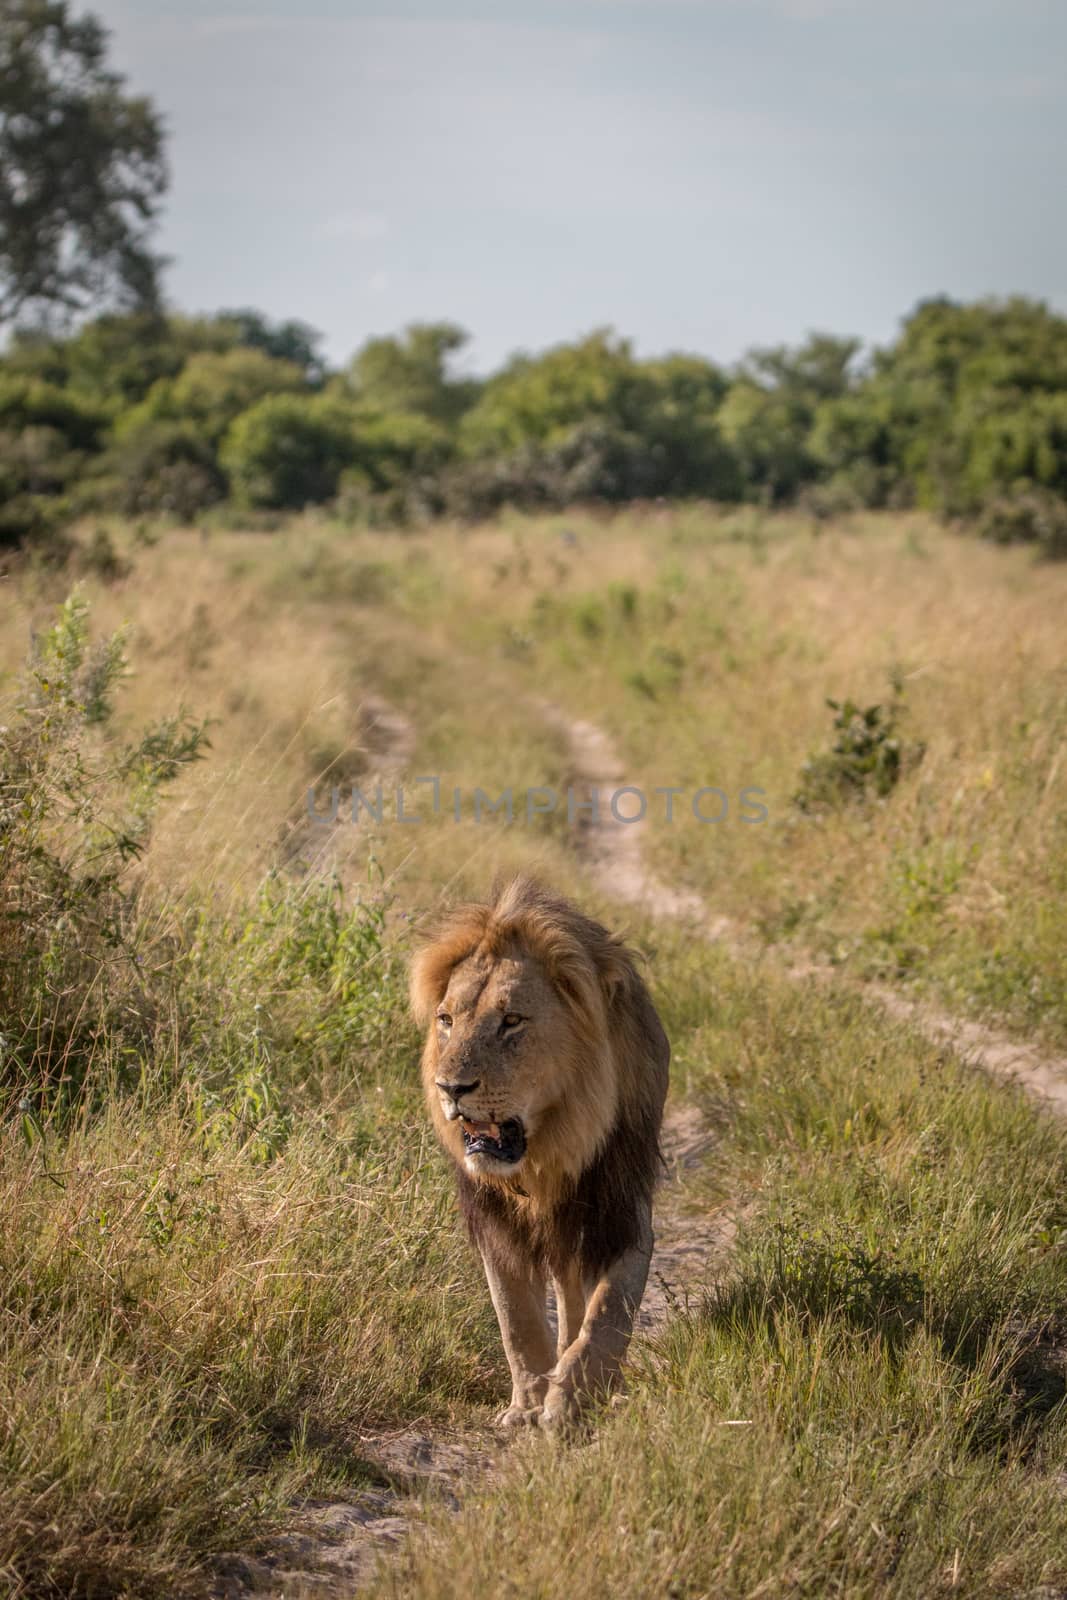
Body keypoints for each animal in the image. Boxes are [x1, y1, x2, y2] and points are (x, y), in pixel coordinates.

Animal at [409, 876, 668, 1427]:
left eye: (511, 1021)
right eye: (446, 1020)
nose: (450, 1088)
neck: (547, 1151)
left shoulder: (621, 1215)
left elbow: (608, 1313)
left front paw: (572, 1398)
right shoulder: (496, 1222)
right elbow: (516, 1318)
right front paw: (528, 1404)